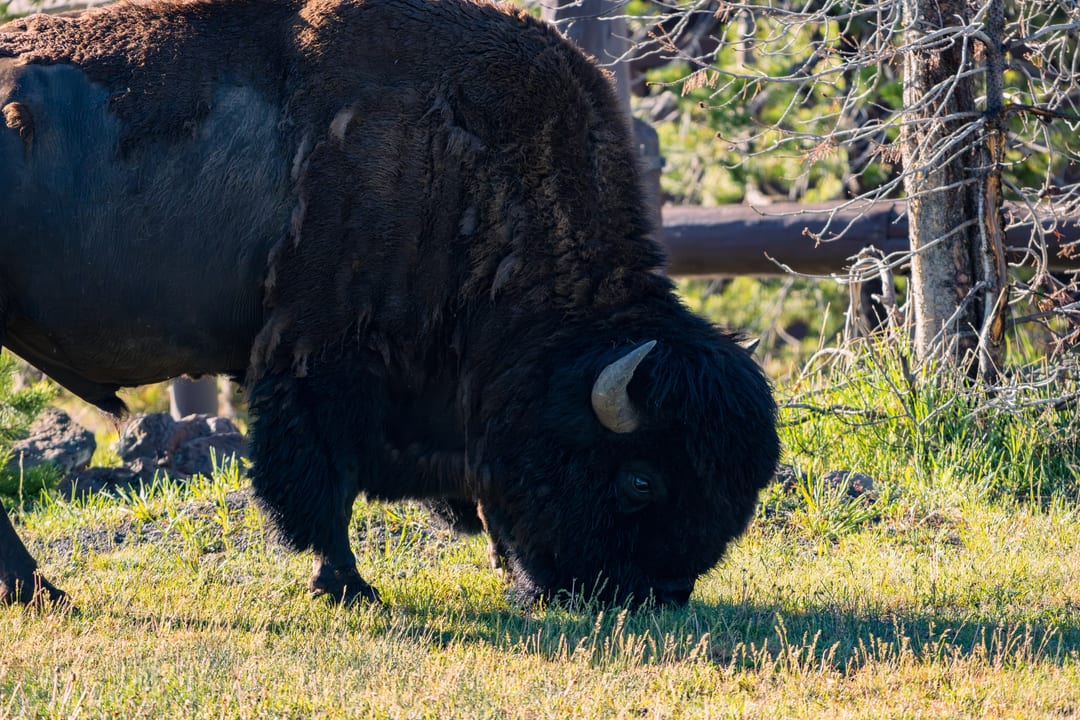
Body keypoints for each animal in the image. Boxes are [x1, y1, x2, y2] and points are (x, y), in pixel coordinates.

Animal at [0, 0, 779, 608]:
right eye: (642, 479)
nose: (656, 596)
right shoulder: (321, 358)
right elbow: (324, 481)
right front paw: (346, 585)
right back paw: (40, 591)